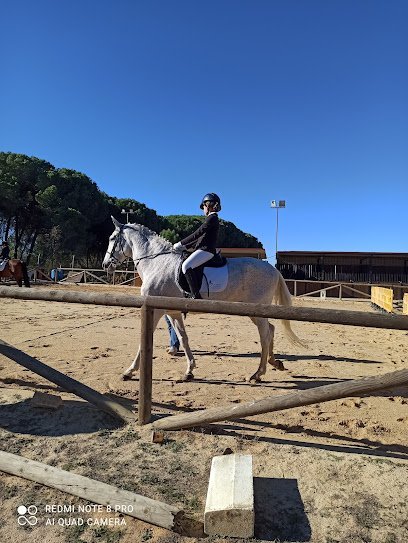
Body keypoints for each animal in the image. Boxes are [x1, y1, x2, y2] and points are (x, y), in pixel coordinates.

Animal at [103, 217, 302, 382]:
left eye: (112, 238)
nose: (105, 265)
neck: (157, 262)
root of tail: (273, 269)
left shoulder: (155, 310)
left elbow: (145, 339)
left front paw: (129, 371)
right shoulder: (173, 312)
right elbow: (183, 338)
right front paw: (189, 370)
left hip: (257, 312)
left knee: (265, 336)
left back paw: (258, 373)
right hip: (256, 313)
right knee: (271, 329)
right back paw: (274, 362)